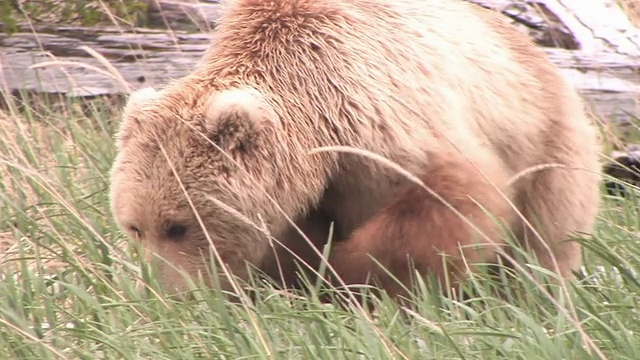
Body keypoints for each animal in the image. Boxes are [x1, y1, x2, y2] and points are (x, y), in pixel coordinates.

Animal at [107, 0, 604, 298]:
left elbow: (444, 199)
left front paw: (347, 278)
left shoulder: (379, 119)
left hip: (545, 137)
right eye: (134, 227)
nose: (163, 294)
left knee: (546, 235)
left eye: (177, 226)